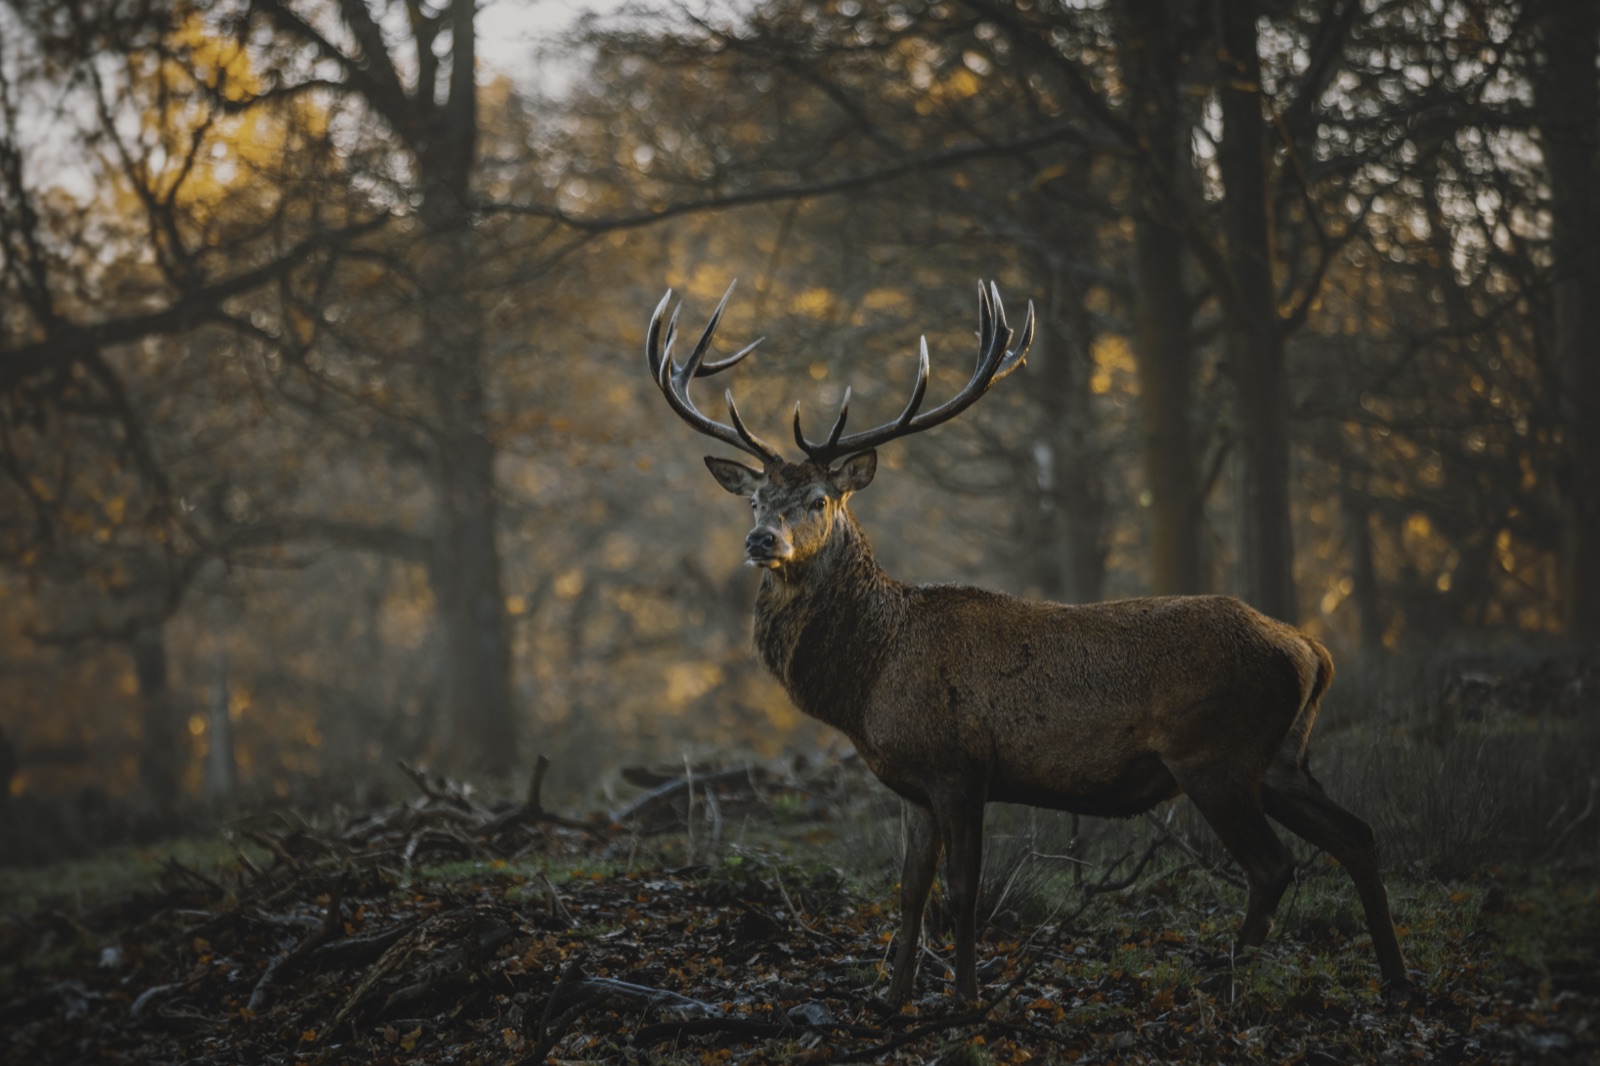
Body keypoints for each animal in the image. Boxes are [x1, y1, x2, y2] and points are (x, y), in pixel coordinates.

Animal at [645, 280, 1410, 1008]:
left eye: (819, 501)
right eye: (754, 499)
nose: (760, 541)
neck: (872, 676)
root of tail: (1311, 651)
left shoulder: (959, 766)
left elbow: (962, 890)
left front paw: (963, 999)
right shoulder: (913, 782)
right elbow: (909, 889)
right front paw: (892, 998)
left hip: (1215, 754)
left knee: (1272, 865)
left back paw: (1224, 980)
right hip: (1280, 758)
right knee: (1359, 835)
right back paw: (1396, 981)